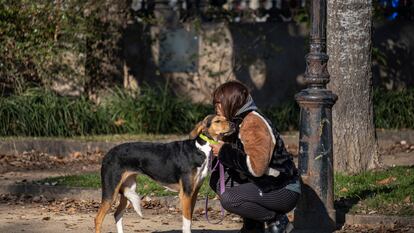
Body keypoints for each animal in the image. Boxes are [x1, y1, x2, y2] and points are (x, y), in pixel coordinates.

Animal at [95, 115, 234, 233]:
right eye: (217, 121)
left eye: (225, 118)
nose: (233, 124)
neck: (200, 148)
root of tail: (107, 154)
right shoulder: (186, 194)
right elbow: (187, 222)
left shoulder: (193, 193)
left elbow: (189, 220)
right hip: (111, 192)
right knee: (98, 218)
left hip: (127, 189)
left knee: (117, 214)